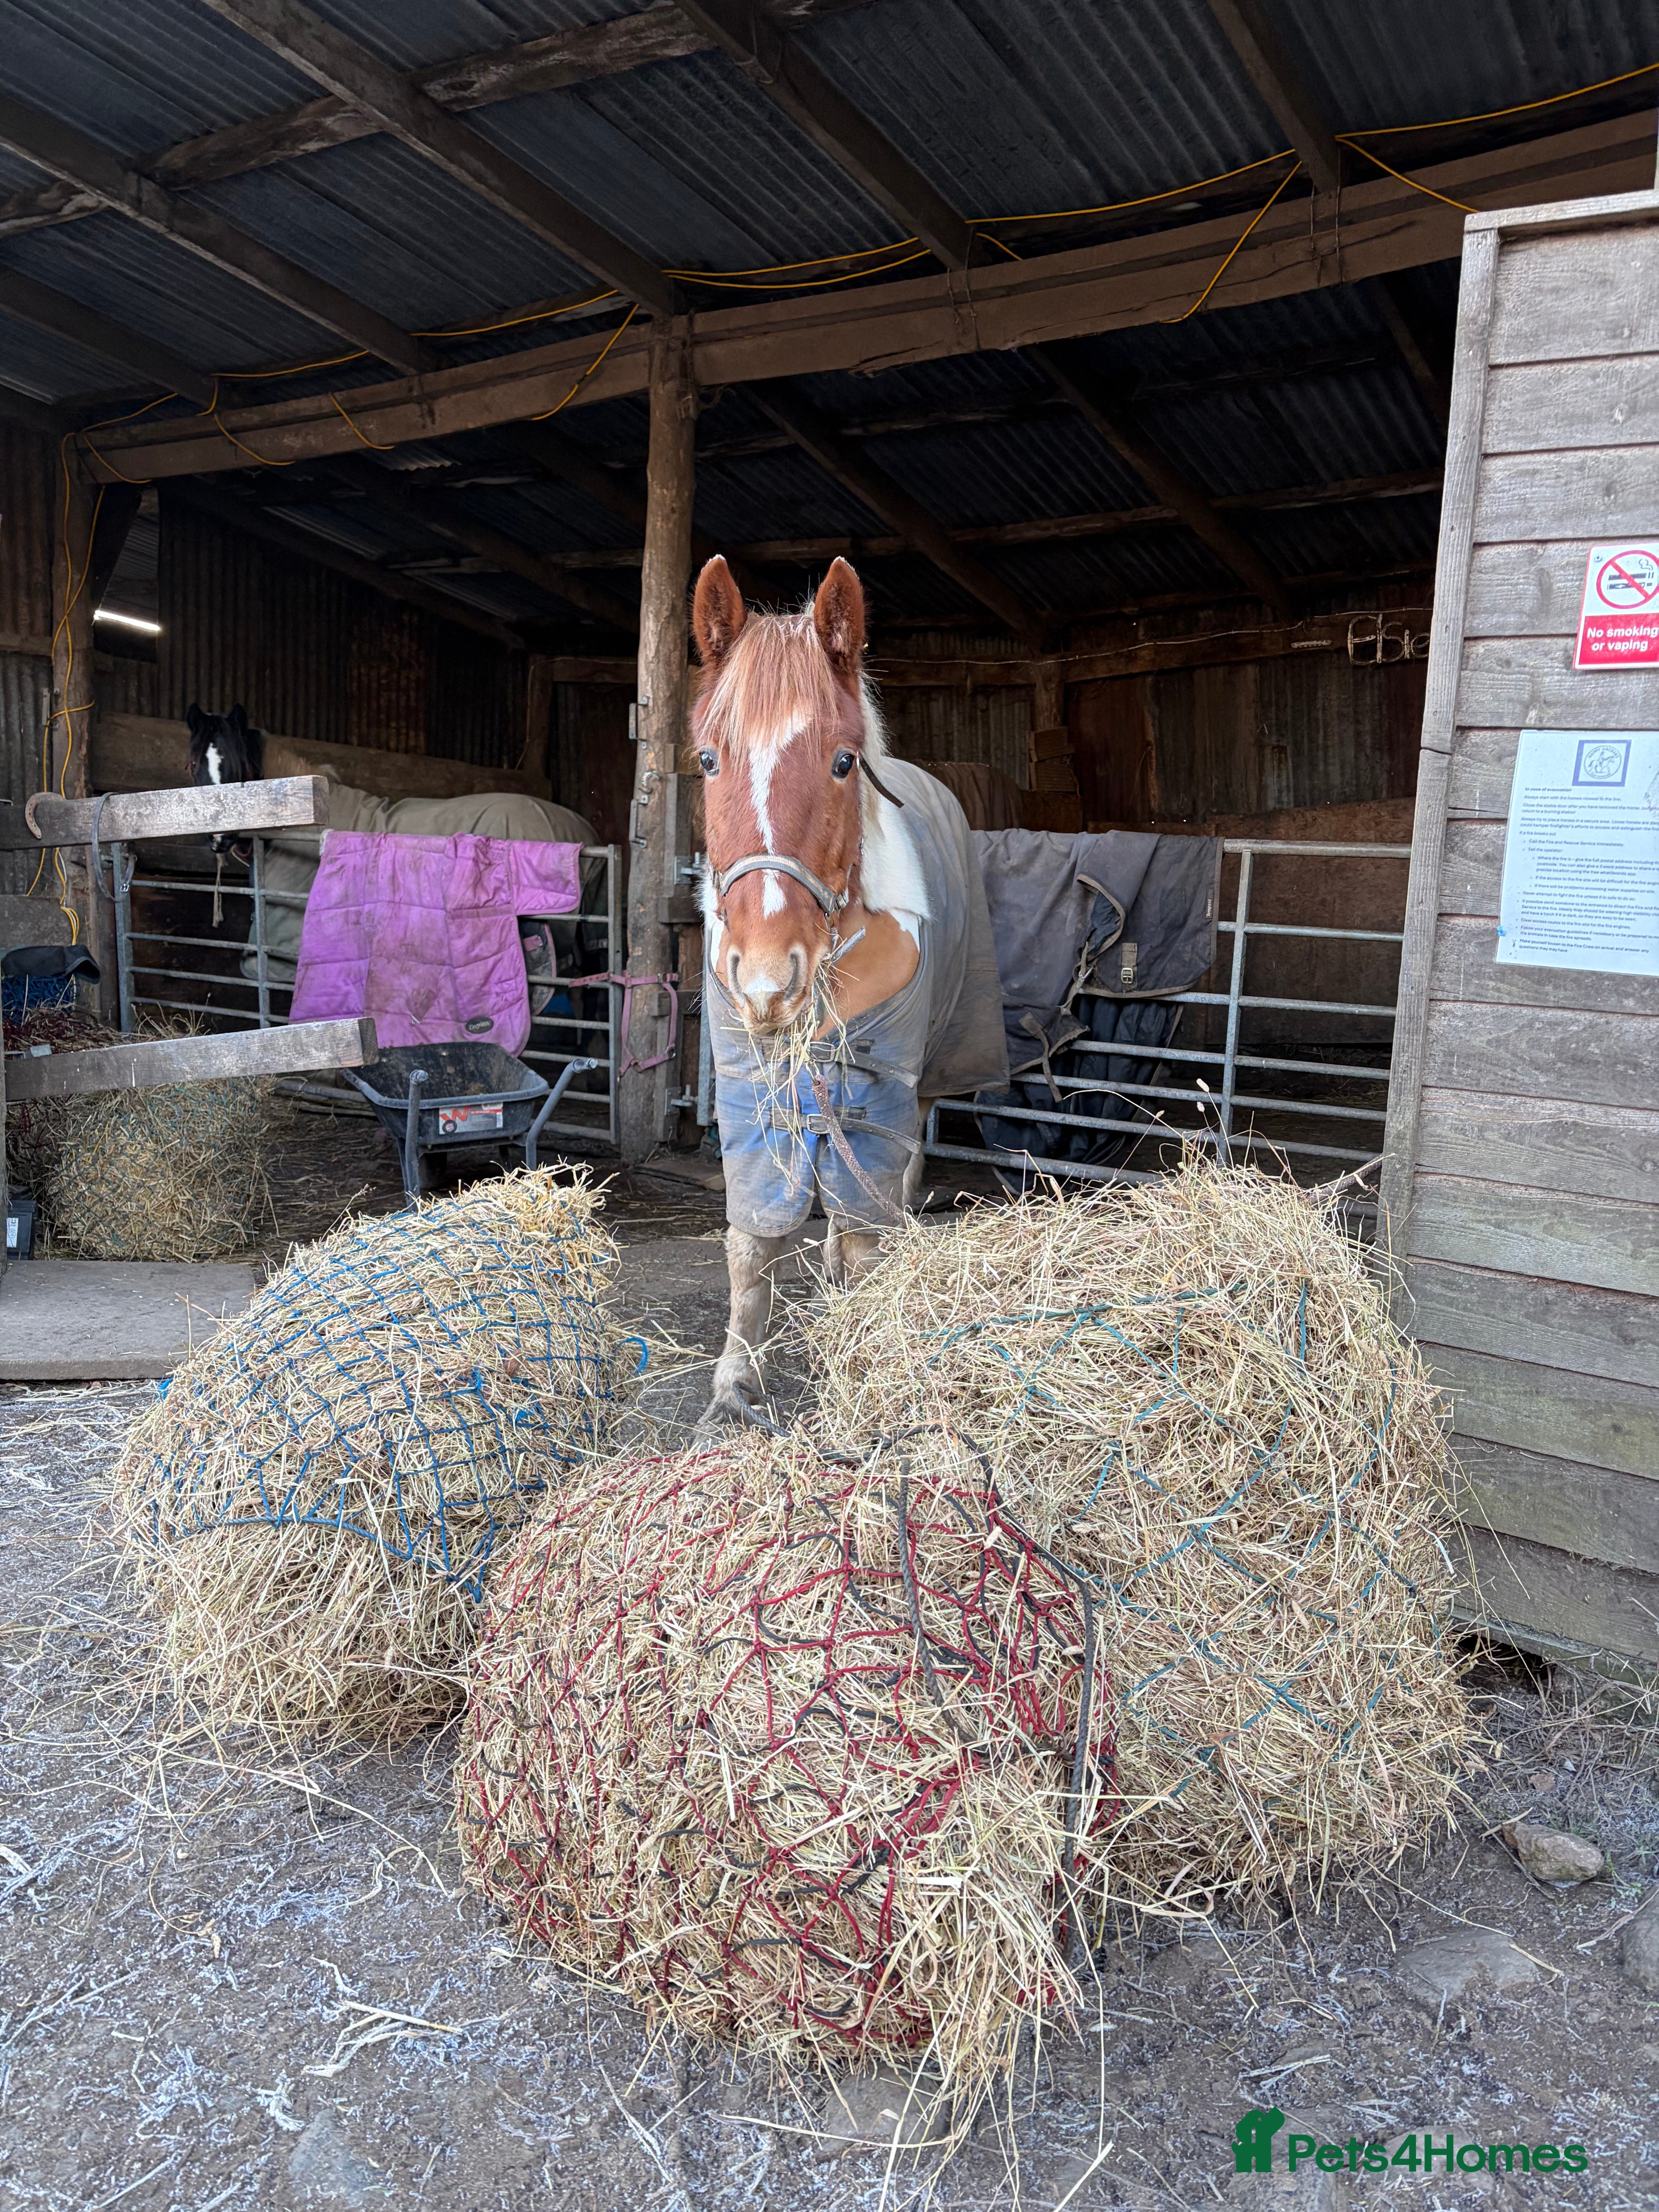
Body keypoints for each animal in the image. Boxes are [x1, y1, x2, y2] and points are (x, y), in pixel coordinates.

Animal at [692, 555, 1007, 1427]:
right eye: (708, 760)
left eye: (841, 761)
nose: (769, 977)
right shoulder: (749, 1082)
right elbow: (752, 1240)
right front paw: (735, 1384)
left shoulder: (879, 1080)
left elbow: (867, 1226)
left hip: (925, 1072)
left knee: (890, 1191)